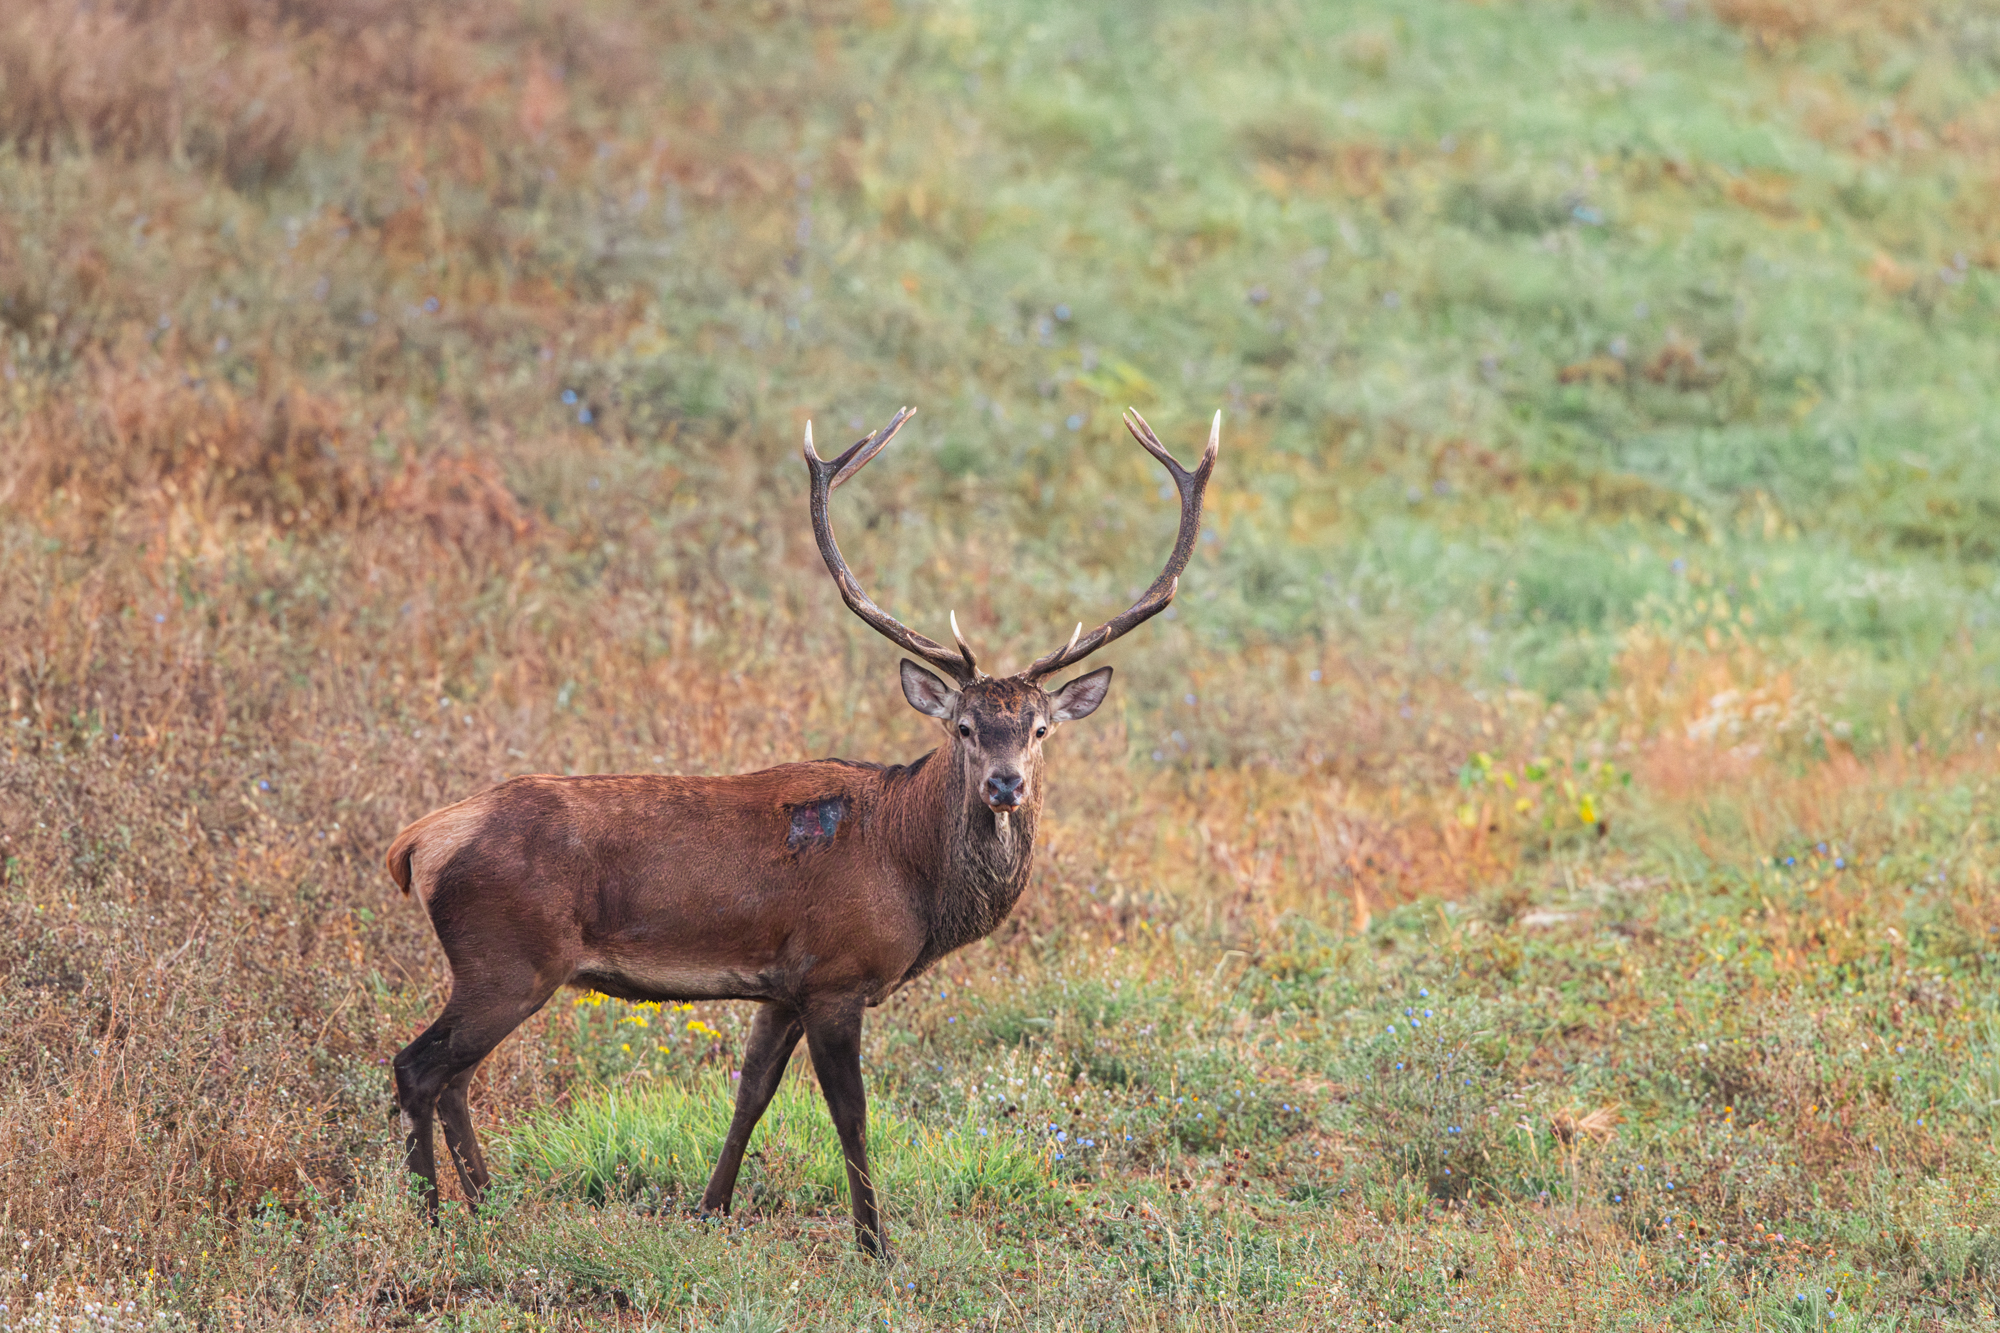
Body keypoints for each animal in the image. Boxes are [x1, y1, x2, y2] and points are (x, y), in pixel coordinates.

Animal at [384, 405, 1218, 1258]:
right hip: (507, 956)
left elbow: (751, 1092)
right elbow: (851, 1115)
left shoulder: (782, 984)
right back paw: (432, 1217)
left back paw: (484, 1204)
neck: (911, 872)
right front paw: (877, 1245)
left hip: (504, 964)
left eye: (1040, 728)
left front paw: (711, 1207)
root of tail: (417, 841)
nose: (1005, 784)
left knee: (453, 1075)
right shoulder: (836, 975)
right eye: (962, 726)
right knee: (418, 1066)